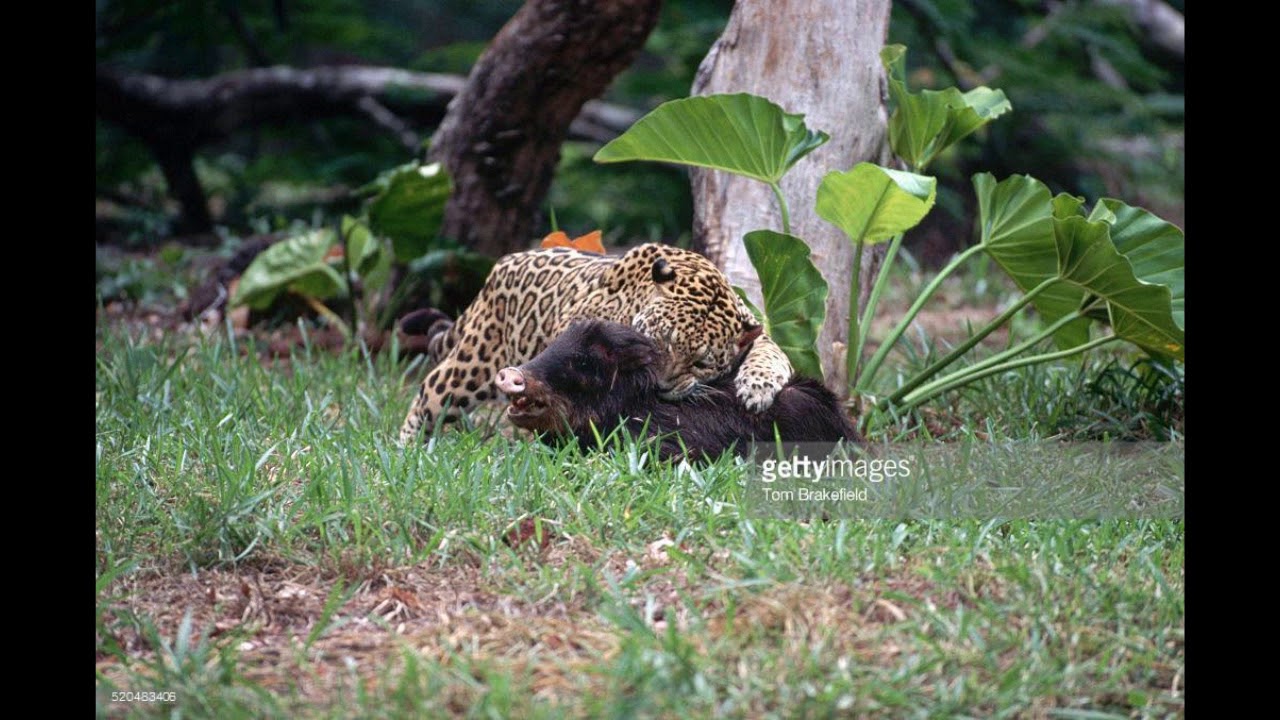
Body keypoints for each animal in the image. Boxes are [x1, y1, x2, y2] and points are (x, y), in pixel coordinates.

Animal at [398, 243, 794, 445]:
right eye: (662, 339)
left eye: (701, 363)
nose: (663, 385)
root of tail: (503, 263)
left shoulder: (753, 324)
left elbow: (772, 350)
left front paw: (758, 386)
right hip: (472, 363)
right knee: (430, 394)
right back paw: (406, 454)